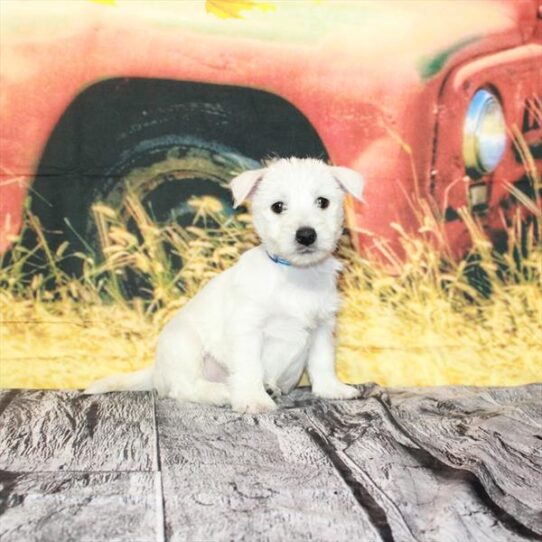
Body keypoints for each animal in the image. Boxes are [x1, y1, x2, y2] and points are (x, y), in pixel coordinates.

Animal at [85, 159, 366, 414]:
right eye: (278, 207)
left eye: (323, 202)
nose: (306, 235)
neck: (296, 274)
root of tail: (156, 371)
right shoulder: (248, 329)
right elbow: (250, 367)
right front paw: (253, 399)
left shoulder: (322, 328)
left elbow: (322, 362)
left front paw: (332, 389)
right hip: (186, 346)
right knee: (183, 388)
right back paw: (222, 392)